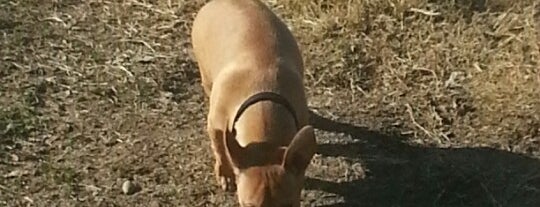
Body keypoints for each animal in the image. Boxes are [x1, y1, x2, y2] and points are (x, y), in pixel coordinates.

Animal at [190, 0, 316, 206]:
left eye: (290, 204)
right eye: (247, 205)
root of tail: (217, 2)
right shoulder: (215, 126)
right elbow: (220, 149)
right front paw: (225, 174)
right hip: (206, 75)